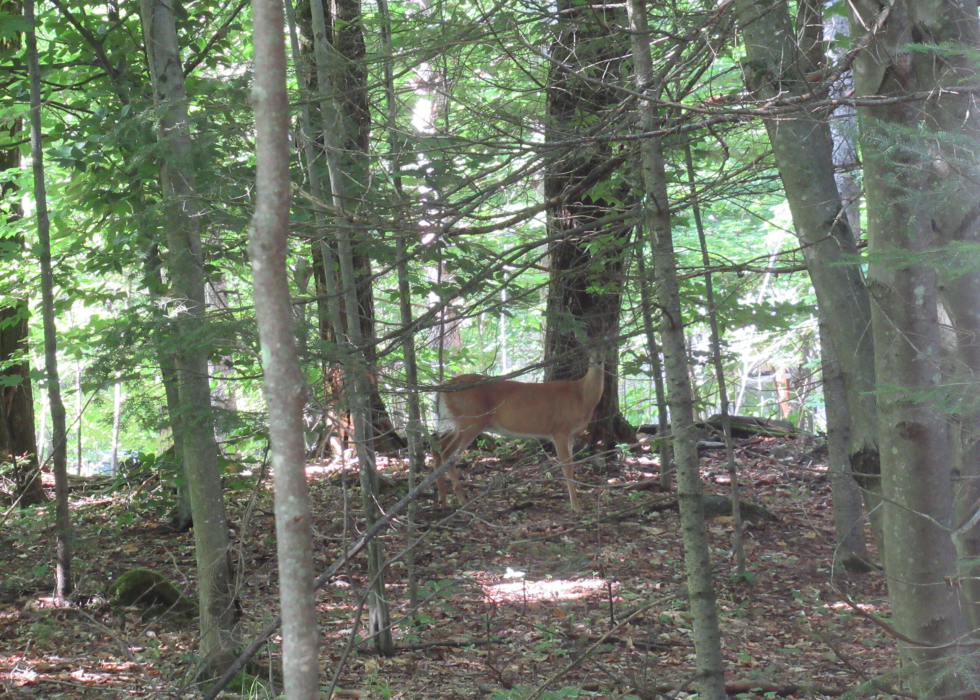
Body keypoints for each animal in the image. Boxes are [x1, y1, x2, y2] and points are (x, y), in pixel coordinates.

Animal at [430, 358, 600, 512]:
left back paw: (443, 500)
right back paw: (462, 500)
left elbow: (572, 466)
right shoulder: (560, 431)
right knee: (447, 452)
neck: (582, 396)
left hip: (460, 423)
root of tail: (443, 389)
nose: (598, 361)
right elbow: (567, 467)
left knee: (438, 445)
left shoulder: (571, 435)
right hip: (470, 421)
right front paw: (576, 507)